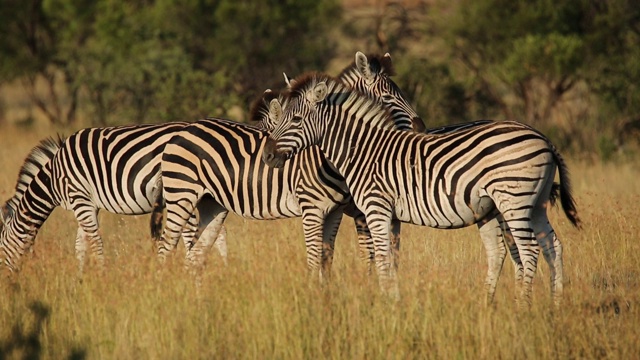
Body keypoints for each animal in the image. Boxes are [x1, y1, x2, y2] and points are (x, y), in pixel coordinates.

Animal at [0, 122, 228, 274]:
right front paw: (79, 281)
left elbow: (94, 242)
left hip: (180, 192)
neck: (54, 177)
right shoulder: (88, 203)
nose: (7, 284)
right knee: (216, 232)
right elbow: (80, 245)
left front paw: (101, 277)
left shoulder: (79, 198)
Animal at [262, 72, 584, 306]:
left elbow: (381, 258)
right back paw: (554, 305)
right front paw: (393, 300)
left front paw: (386, 305)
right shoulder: (391, 215)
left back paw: (522, 307)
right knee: (552, 246)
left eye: (296, 120)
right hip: (534, 203)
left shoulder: (376, 208)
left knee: (529, 251)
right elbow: (392, 258)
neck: (363, 150)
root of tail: (544, 138)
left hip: (514, 200)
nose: (267, 155)